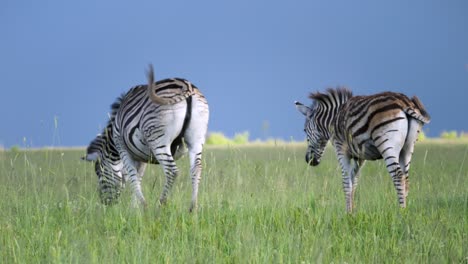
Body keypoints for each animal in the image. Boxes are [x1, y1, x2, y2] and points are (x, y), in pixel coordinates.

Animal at [83, 65, 209, 211]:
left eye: (98, 172)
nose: (105, 203)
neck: (112, 145)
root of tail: (186, 85)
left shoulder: (122, 147)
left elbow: (132, 176)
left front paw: (142, 206)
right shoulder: (141, 156)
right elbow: (138, 177)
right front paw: (134, 208)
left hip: (158, 139)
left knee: (172, 171)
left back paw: (160, 206)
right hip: (196, 139)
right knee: (196, 169)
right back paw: (193, 208)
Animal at [296, 87, 432, 213]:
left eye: (304, 130)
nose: (309, 160)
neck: (333, 119)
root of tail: (405, 102)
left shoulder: (341, 149)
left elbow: (346, 182)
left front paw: (347, 213)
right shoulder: (360, 156)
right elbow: (354, 181)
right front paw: (352, 212)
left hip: (387, 144)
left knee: (398, 175)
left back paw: (401, 212)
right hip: (408, 148)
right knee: (405, 177)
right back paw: (406, 210)